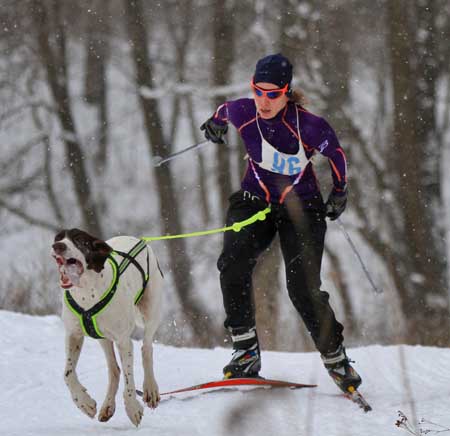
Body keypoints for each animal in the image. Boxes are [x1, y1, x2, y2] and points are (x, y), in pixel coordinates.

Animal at [51, 230, 163, 428]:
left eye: (79, 240)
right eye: (58, 238)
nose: (57, 246)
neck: (87, 293)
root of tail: (139, 240)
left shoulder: (124, 341)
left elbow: (129, 380)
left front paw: (132, 407)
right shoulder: (73, 335)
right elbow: (67, 374)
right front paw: (84, 403)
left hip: (152, 311)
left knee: (147, 348)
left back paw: (150, 388)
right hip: (102, 336)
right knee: (114, 370)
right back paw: (107, 407)